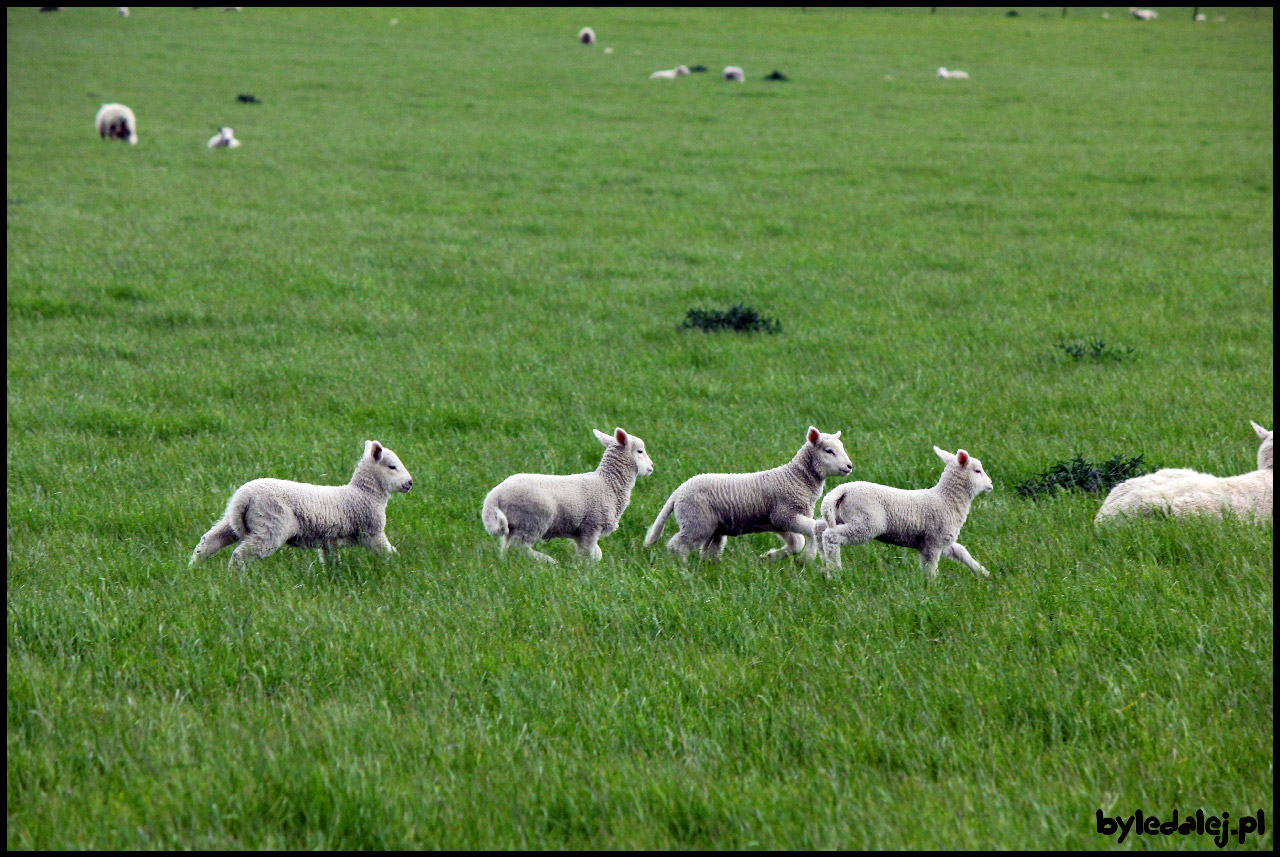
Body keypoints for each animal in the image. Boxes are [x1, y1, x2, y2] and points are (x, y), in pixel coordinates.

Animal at [189, 442, 412, 570]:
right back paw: (235, 578)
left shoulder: (329, 539)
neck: (363, 493)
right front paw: (400, 565)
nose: (409, 483)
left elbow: (330, 559)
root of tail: (242, 497)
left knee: (209, 540)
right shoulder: (372, 531)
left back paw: (194, 569)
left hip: (234, 521)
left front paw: (333, 574)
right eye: (392, 467)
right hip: (270, 525)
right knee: (240, 555)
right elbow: (387, 551)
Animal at [483, 429, 655, 562]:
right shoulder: (591, 526)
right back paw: (548, 562)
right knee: (519, 548)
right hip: (531, 521)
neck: (608, 484)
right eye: (640, 451)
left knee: (508, 550)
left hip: (514, 525)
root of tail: (494, 495)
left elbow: (595, 553)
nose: (652, 467)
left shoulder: (580, 532)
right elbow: (590, 553)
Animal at [645, 427, 855, 562]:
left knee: (708, 551)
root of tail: (678, 491)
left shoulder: (778, 521)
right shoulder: (784, 514)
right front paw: (808, 557)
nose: (849, 466)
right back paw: (683, 570)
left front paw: (771, 556)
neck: (796, 478)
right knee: (678, 545)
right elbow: (812, 529)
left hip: (712, 527)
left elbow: (797, 542)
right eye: (829, 451)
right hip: (697, 521)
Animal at [814, 442, 993, 583]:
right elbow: (930, 567)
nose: (991, 484)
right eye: (978, 471)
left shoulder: (942, 540)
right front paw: (931, 587)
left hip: (842, 516)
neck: (946, 499)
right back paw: (835, 572)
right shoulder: (933, 541)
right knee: (831, 536)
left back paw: (825, 567)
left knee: (820, 528)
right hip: (867, 522)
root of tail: (842, 489)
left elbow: (961, 551)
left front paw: (982, 572)